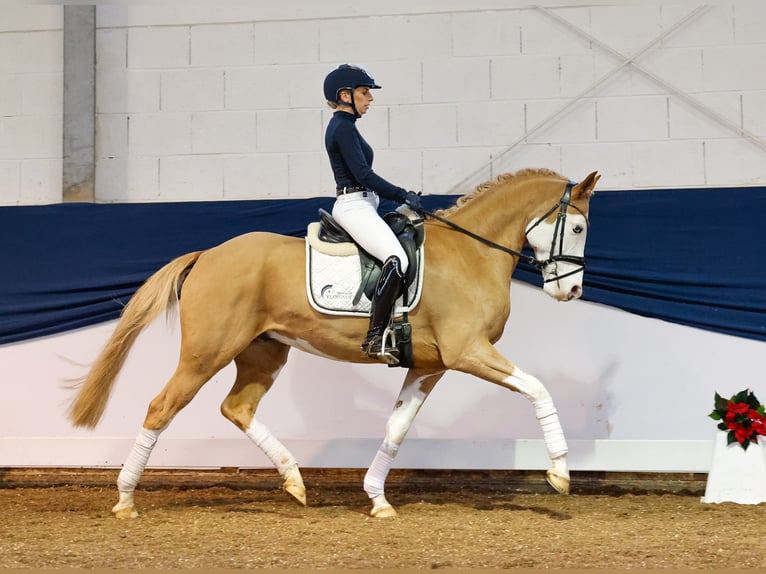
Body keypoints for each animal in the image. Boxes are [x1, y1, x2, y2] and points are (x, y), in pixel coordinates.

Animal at [67, 169, 600, 520]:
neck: (472, 252)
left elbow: (397, 427)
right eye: (576, 227)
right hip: (206, 353)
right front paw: (560, 474)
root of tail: (208, 254)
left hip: (264, 352)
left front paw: (377, 499)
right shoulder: (468, 351)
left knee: (237, 408)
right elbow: (538, 389)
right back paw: (125, 499)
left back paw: (295, 481)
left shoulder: (429, 366)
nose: (571, 290)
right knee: (161, 407)